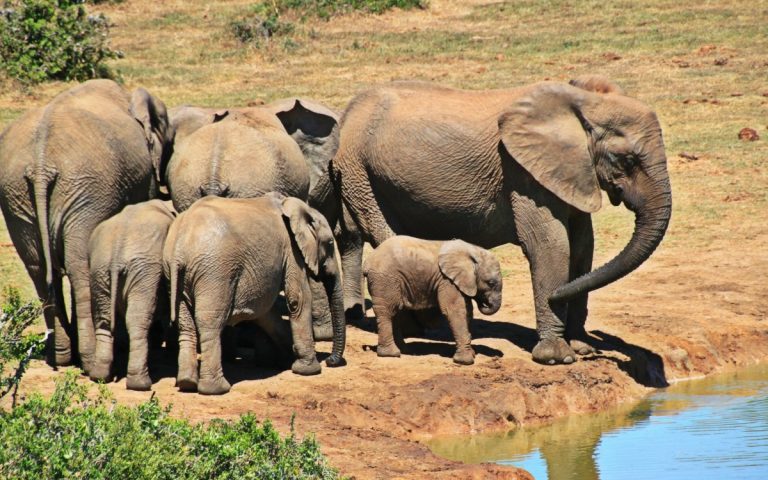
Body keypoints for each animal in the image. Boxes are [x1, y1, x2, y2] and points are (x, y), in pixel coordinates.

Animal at [0, 79, 172, 370]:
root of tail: (40, 164)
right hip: (86, 191)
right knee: (79, 267)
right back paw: (89, 360)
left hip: (18, 197)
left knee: (39, 268)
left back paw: (60, 356)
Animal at [87, 199, 176, 390]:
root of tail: (116, 255)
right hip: (144, 271)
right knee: (137, 321)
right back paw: (141, 384)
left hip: (99, 270)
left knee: (104, 320)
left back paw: (99, 376)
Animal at [162, 194, 346, 395]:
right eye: (330, 244)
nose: (330, 361)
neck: (297, 207)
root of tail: (179, 249)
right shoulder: (291, 250)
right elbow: (298, 299)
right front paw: (308, 370)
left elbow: (266, 312)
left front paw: (287, 360)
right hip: (214, 273)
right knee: (210, 324)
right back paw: (216, 389)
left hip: (175, 275)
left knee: (185, 324)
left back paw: (186, 383)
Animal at [364, 236, 502, 365]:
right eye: (491, 283)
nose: (485, 303)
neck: (473, 251)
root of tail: (368, 261)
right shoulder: (447, 281)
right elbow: (455, 311)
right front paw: (465, 361)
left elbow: (467, 311)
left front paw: (472, 354)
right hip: (384, 279)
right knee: (387, 311)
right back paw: (391, 354)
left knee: (396, 311)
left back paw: (404, 350)